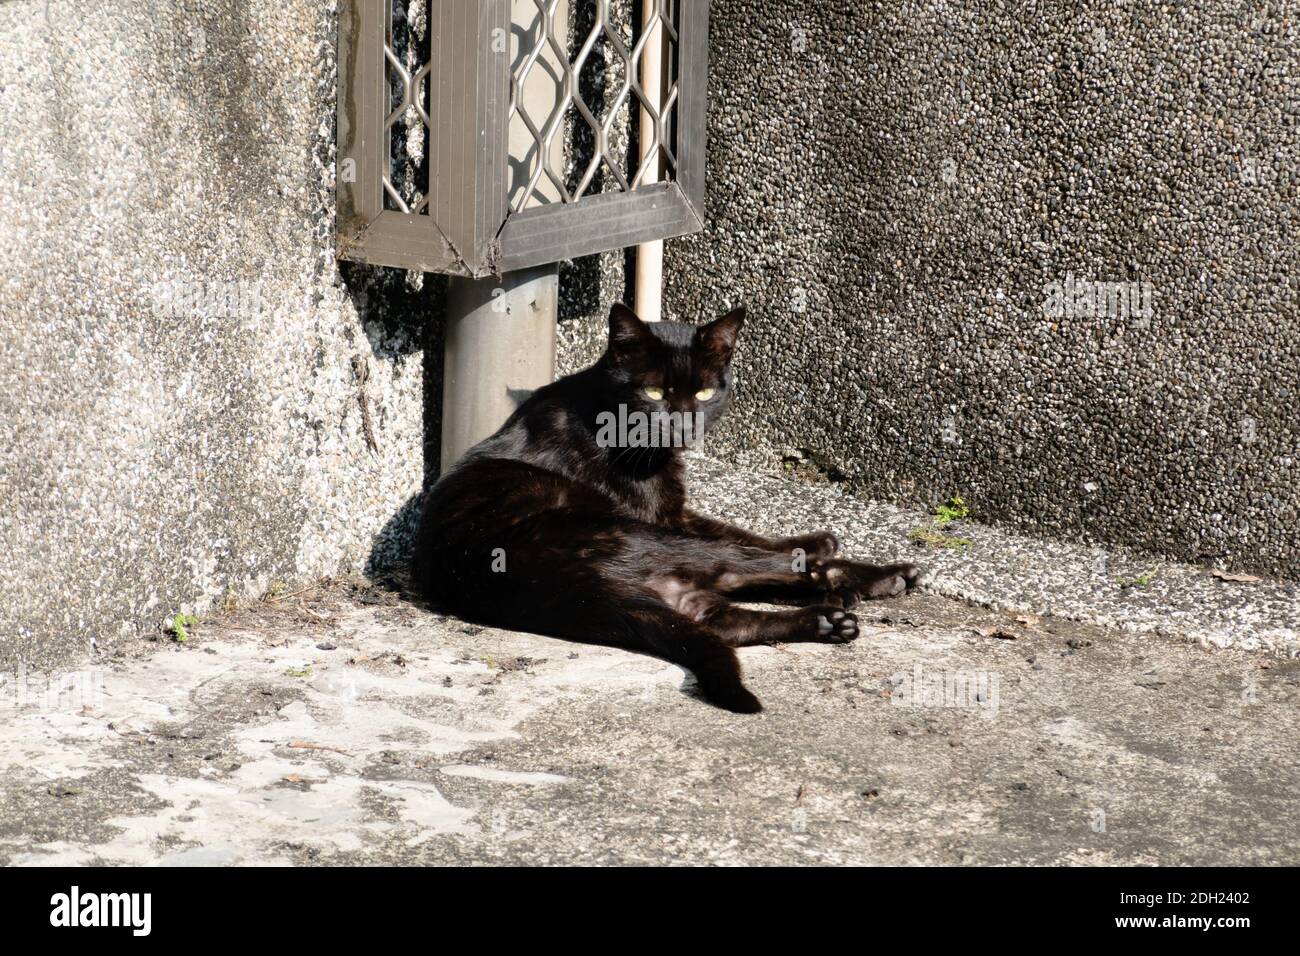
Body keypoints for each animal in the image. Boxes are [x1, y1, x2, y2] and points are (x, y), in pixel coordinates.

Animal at [410, 303, 920, 712]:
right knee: (746, 571)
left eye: (704, 394)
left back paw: (829, 618)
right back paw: (855, 585)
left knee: (729, 621)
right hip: (642, 536)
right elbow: (751, 543)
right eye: (653, 394)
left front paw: (821, 546)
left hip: (676, 590)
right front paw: (828, 554)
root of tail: (571, 588)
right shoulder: (663, 517)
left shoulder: (677, 512)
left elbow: (739, 528)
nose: (682, 425)